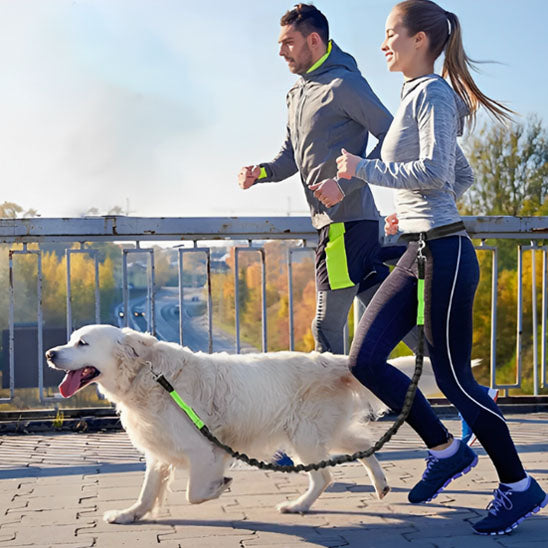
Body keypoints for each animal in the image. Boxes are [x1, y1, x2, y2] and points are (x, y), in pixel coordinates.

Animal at [46, 326, 440, 524]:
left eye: (82, 343)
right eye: (70, 339)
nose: (50, 354)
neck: (150, 376)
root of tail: (334, 361)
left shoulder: (202, 448)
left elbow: (194, 493)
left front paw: (220, 486)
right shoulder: (160, 449)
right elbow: (147, 491)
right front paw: (130, 515)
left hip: (303, 435)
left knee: (324, 475)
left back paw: (297, 506)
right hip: (321, 431)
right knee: (360, 445)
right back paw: (381, 485)